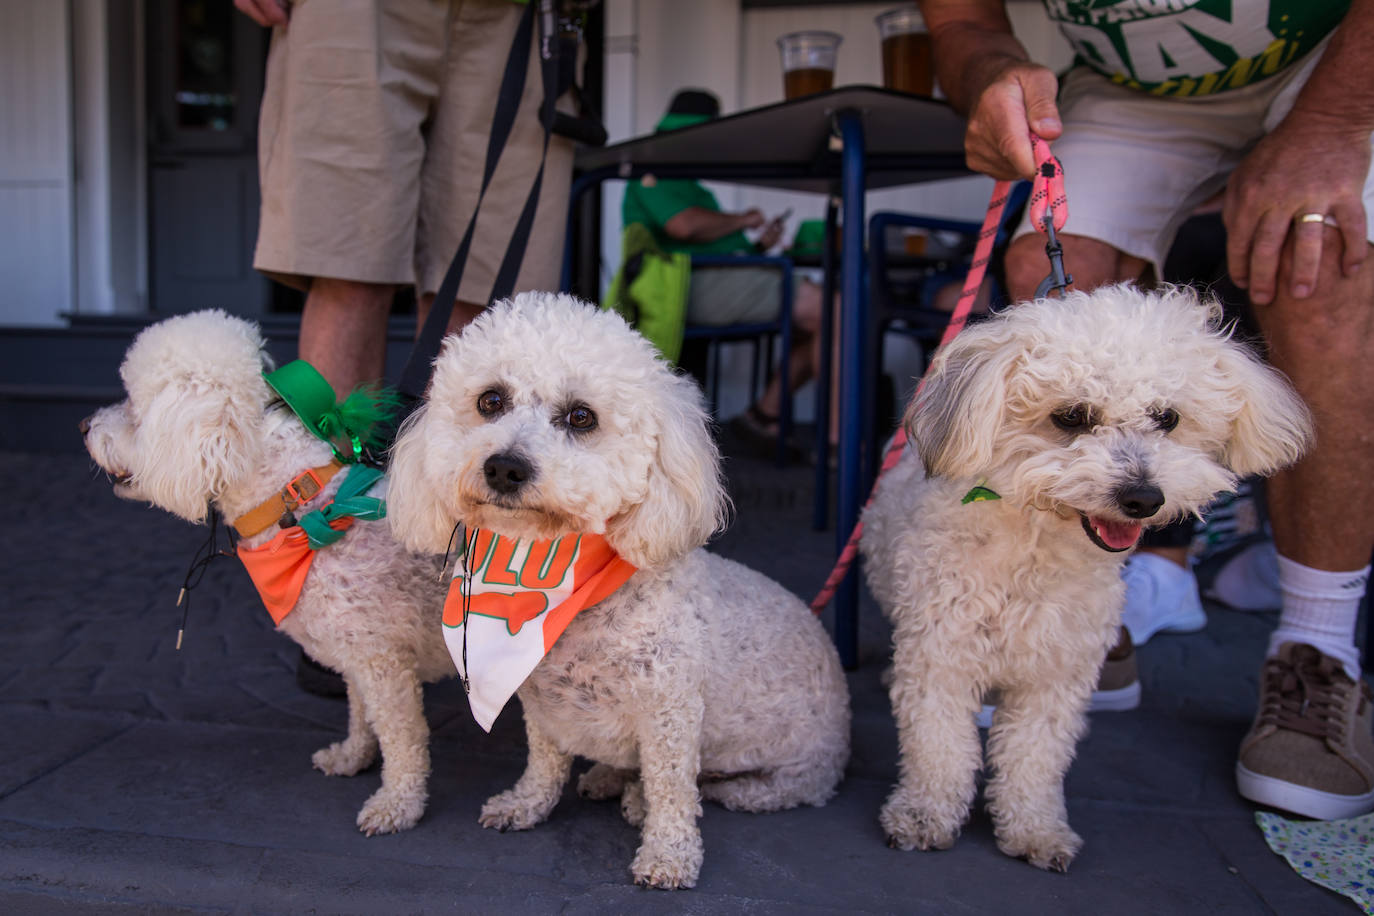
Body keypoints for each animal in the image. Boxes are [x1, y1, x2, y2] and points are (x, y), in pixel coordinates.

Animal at [81, 313, 450, 840]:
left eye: (133, 404)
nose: (83, 426)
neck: (297, 508)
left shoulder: (383, 659)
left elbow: (401, 736)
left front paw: (398, 803)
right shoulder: (356, 650)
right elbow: (361, 712)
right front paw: (353, 756)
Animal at [387, 292, 846, 889]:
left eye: (581, 417)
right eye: (490, 400)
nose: (505, 467)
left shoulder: (671, 712)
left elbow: (673, 792)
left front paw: (669, 855)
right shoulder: (543, 701)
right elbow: (545, 762)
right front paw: (527, 804)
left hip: (795, 769)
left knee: (748, 789)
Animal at [857, 287, 1308, 873]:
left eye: (1167, 418)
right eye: (1071, 416)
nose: (1143, 497)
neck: (1033, 545)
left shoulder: (1056, 676)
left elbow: (1033, 759)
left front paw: (1034, 829)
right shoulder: (942, 658)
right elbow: (939, 748)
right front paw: (923, 815)